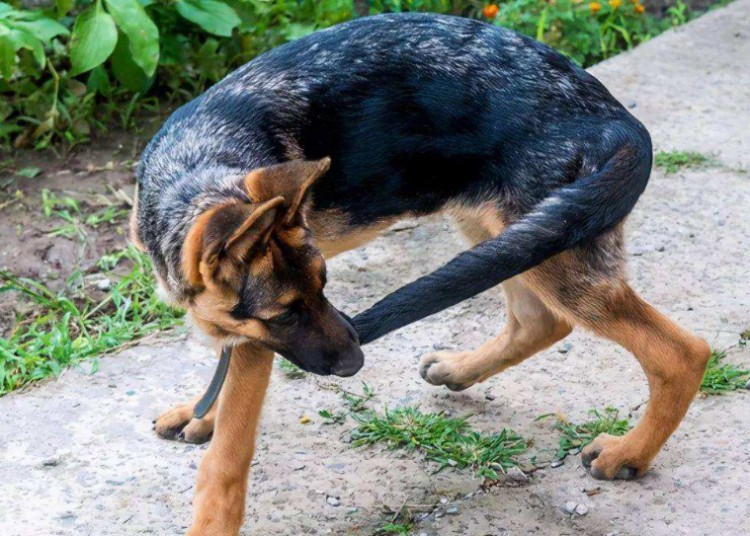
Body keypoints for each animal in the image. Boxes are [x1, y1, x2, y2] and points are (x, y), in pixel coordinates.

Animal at [132, 12, 712, 536]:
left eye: (324, 286)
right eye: (288, 312)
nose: (357, 361)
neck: (194, 169)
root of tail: (618, 121)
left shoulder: (254, 343)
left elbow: (227, 456)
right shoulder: (244, 327)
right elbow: (223, 376)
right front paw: (201, 414)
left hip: (551, 245)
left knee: (680, 352)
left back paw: (629, 453)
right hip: (510, 234)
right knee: (541, 321)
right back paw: (461, 370)